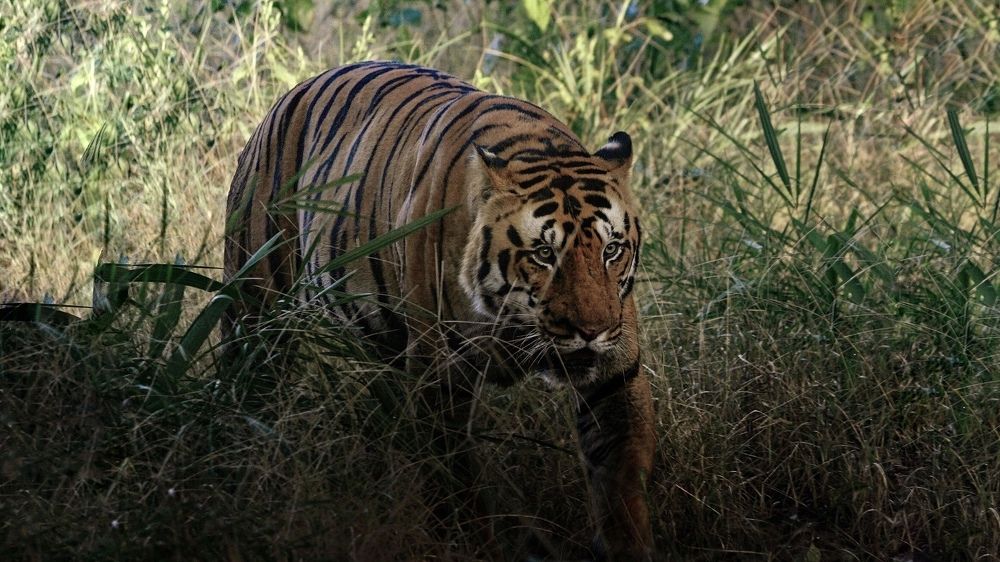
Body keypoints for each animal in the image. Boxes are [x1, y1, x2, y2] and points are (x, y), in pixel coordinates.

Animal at [223, 60, 656, 560]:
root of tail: (288, 97)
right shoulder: (440, 374)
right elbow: (455, 482)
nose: (592, 330)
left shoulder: (615, 370)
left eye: (612, 250)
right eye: (545, 254)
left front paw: (627, 545)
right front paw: (470, 544)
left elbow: (620, 473)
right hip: (255, 307)